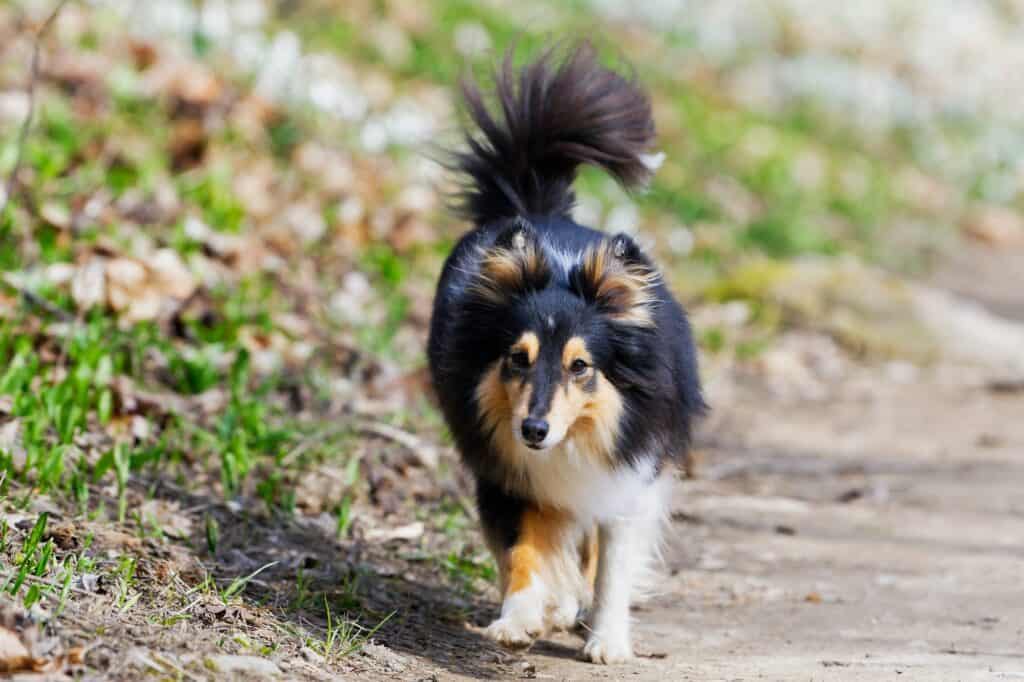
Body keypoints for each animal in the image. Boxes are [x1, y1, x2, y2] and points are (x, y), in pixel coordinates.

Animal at [425, 43, 704, 663]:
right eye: (516, 358)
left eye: (581, 367)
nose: (532, 430)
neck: (572, 440)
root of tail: (541, 206)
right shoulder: (508, 475)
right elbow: (523, 549)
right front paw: (520, 617)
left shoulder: (630, 478)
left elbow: (613, 563)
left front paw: (607, 641)